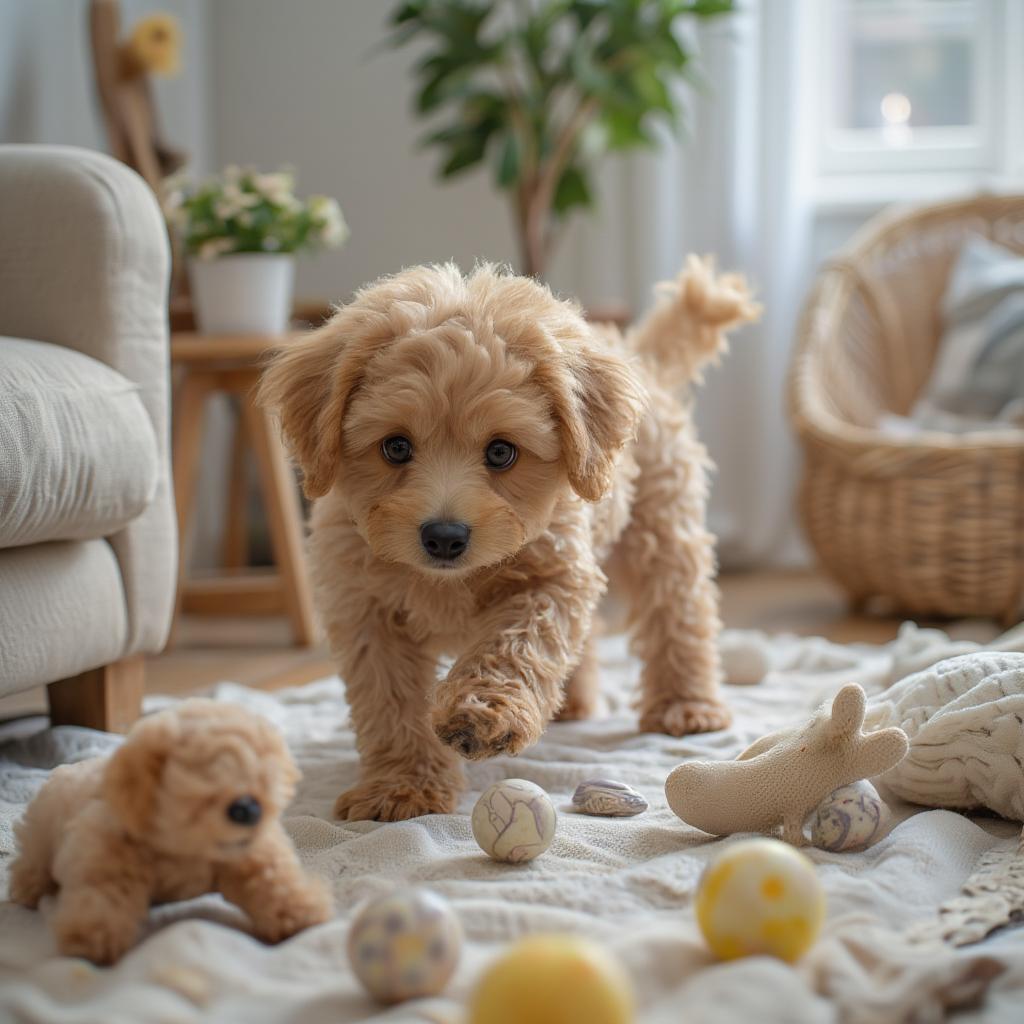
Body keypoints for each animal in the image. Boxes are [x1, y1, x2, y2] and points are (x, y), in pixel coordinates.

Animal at [11, 700, 331, 962]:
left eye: (261, 777)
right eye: (203, 778)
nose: (248, 809)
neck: (185, 849)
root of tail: (64, 768)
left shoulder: (246, 855)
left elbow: (271, 881)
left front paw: (298, 914)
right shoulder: (110, 851)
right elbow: (104, 892)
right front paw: (91, 937)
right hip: (40, 832)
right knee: (32, 861)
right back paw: (29, 890)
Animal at [260, 258, 757, 823]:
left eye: (501, 452)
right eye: (395, 447)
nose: (444, 536)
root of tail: (638, 356)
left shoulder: (548, 577)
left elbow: (516, 645)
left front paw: (483, 714)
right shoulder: (364, 608)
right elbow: (389, 703)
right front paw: (403, 786)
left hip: (662, 529)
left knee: (679, 614)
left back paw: (685, 705)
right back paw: (570, 703)